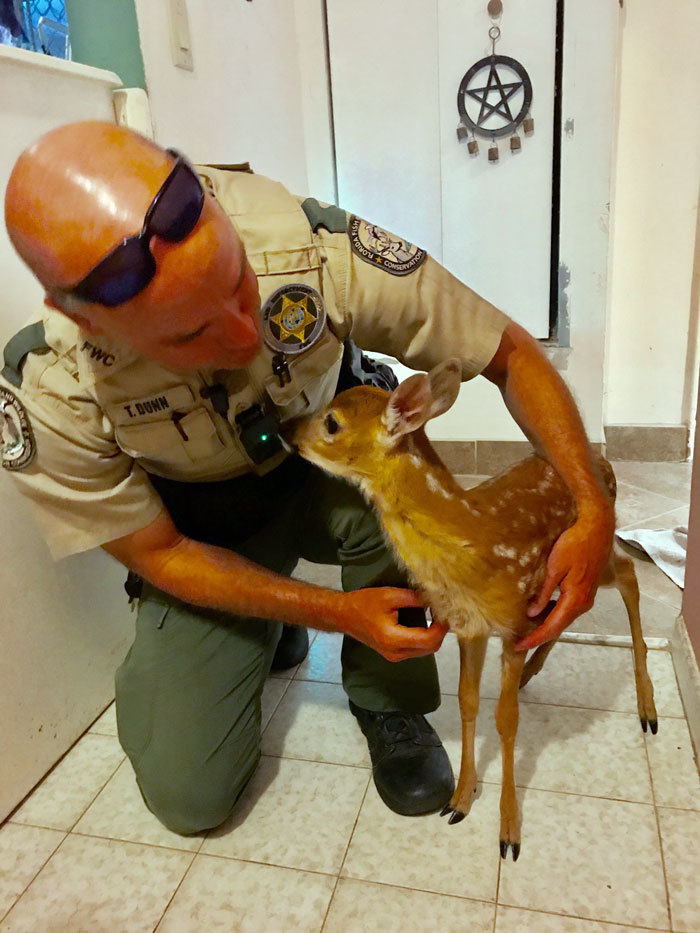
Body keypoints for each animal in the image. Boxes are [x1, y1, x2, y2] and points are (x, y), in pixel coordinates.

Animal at [290, 359, 657, 861]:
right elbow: (467, 703)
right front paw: (461, 800)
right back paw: (538, 672)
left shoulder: (513, 622)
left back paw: (647, 709)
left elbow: (505, 720)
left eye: (332, 422)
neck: (468, 536)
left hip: (586, 557)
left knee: (627, 574)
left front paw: (508, 833)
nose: (287, 431)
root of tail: (603, 464)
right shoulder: (469, 627)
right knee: (583, 602)